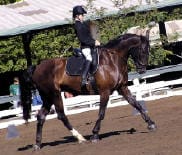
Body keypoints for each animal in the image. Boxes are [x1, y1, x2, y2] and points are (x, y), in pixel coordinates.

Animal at [19, 31, 156, 150]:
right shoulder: (105, 91)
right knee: (61, 115)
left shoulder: (122, 88)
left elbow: (136, 104)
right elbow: (101, 113)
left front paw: (151, 123)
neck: (112, 59)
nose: (142, 69)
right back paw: (80, 138)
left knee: (41, 116)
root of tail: (37, 68)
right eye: (143, 50)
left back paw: (37, 144)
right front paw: (95, 135)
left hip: (47, 97)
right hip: (54, 94)